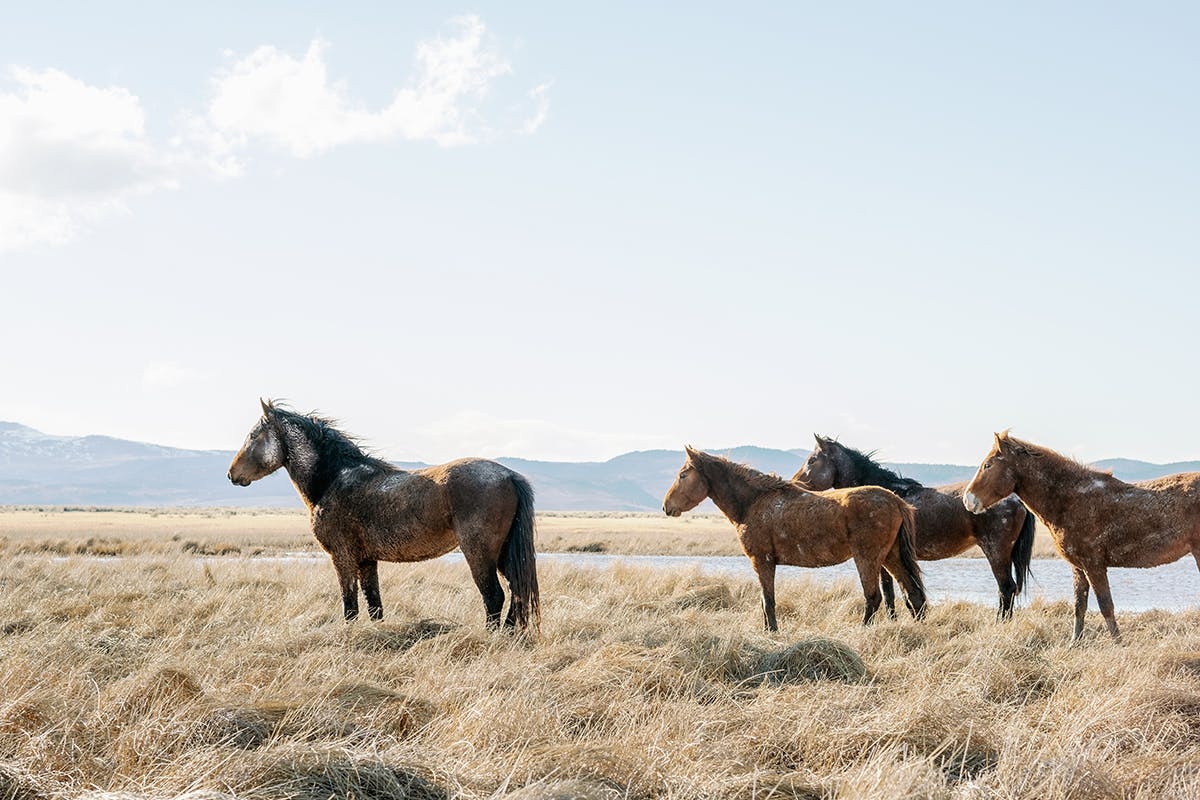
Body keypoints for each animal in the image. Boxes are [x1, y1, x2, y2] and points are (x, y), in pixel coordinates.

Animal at [225, 400, 544, 633]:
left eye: (253, 435)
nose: (231, 474)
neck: (333, 479)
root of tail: (509, 475)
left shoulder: (342, 557)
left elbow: (350, 605)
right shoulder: (367, 560)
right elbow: (374, 605)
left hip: (479, 553)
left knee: (494, 597)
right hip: (502, 554)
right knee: (516, 593)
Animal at [662, 448, 921, 628]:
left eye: (683, 475)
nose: (666, 506)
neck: (754, 501)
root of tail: (896, 500)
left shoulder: (762, 561)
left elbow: (768, 601)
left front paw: (772, 632)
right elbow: (765, 601)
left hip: (868, 559)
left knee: (874, 598)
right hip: (891, 557)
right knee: (913, 595)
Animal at [792, 438, 1036, 618]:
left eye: (812, 460)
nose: (795, 483)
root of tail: (1016, 499)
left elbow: (889, 592)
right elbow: (894, 593)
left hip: (995, 551)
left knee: (1006, 589)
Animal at [960, 431, 1200, 642]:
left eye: (988, 465)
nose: (967, 500)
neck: (1072, 498)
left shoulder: (1094, 565)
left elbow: (1105, 605)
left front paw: (1118, 643)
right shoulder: (1079, 567)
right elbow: (1079, 605)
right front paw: (1075, 642)